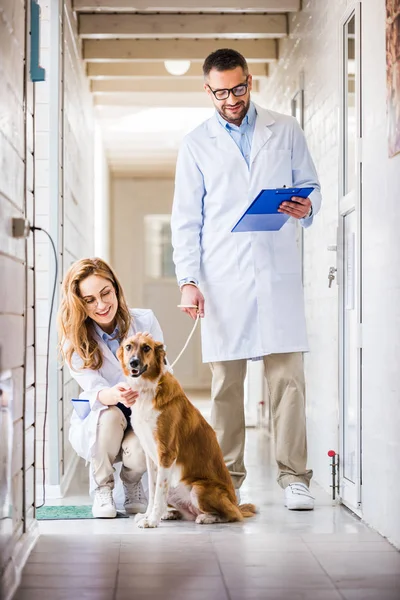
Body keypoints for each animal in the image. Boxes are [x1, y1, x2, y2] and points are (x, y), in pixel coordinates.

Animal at [117, 332, 258, 528]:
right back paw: (171, 514)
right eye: (129, 347)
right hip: (176, 488)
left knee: (232, 515)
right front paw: (148, 515)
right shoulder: (151, 457)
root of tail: (235, 503)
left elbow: (158, 493)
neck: (147, 389)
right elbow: (153, 491)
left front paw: (152, 520)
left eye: (146, 348)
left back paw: (206, 517)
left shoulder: (166, 453)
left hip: (198, 489)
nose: (133, 363)